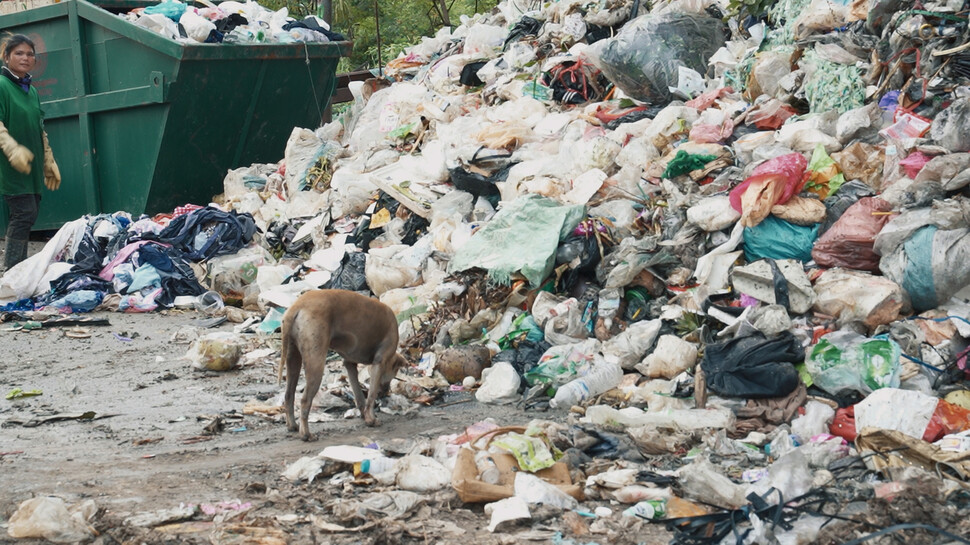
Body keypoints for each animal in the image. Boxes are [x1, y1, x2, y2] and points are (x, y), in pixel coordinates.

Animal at [276, 288, 404, 438]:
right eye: (394, 374)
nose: (386, 392)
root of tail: (296, 306)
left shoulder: (349, 364)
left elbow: (359, 396)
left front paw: (364, 415)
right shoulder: (379, 362)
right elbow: (371, 394)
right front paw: (371, 420)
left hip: (293, 359)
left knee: (288, 395)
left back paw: (292, 425)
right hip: (316, 364)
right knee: (305, 400)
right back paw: (306, 435)